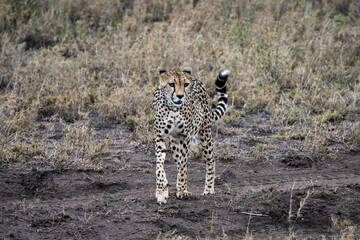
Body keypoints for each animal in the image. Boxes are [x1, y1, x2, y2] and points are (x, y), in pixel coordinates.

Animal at [153, 66, 229, 203]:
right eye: (171, 84)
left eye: (186, 84)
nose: (180, 96)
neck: (173, 108)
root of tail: (196, 79)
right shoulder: (160, 137)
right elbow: (159, 167)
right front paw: (161, 191)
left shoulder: (185, 137)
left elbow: (183, 166)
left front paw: (182, 191)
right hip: (174, 141)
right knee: (177, 162)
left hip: (205, 133)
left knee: (211, 160)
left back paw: (209, 189)